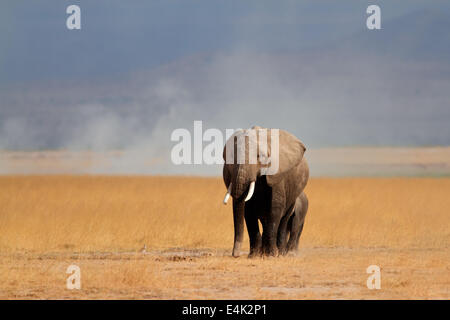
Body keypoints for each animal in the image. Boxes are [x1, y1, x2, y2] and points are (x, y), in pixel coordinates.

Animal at [222, 125, 310, 258]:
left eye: (260, 156)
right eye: (232, 157)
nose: (235, 254)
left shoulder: (278, 175)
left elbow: (275, 208)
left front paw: (271, 255)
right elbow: (248, 211)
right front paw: (254, 256)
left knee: (285, 221)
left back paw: (282, 253)